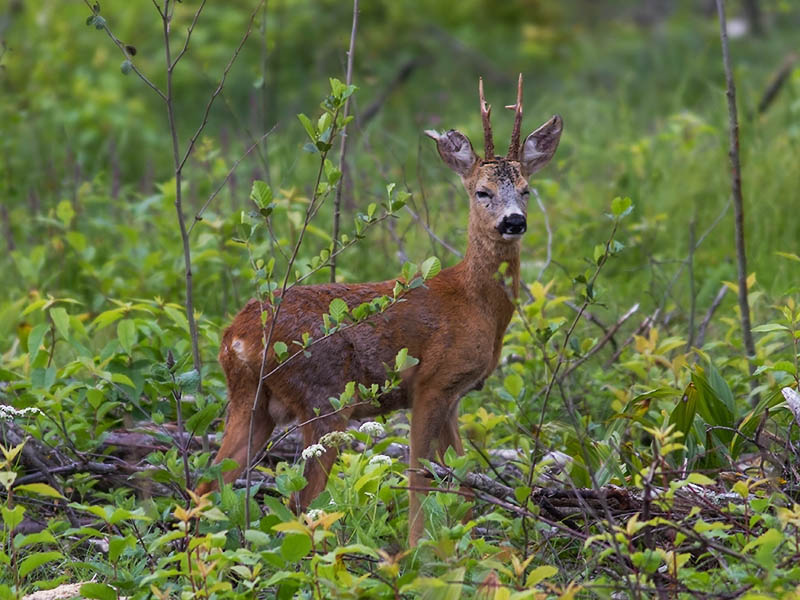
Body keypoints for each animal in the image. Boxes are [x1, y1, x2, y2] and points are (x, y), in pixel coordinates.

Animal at [198, 74, 564, 544]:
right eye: (482, 191)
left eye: (525, 190)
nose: (514, 221)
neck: (474, 301)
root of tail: (235, 337)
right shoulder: (431, 382)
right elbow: (418, 476)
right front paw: (418, 550)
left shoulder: (455, 394)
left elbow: (463, 482)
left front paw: (463, 547)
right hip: (324, 399)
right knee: (302, 502)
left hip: (252, 401)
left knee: (208, 485)